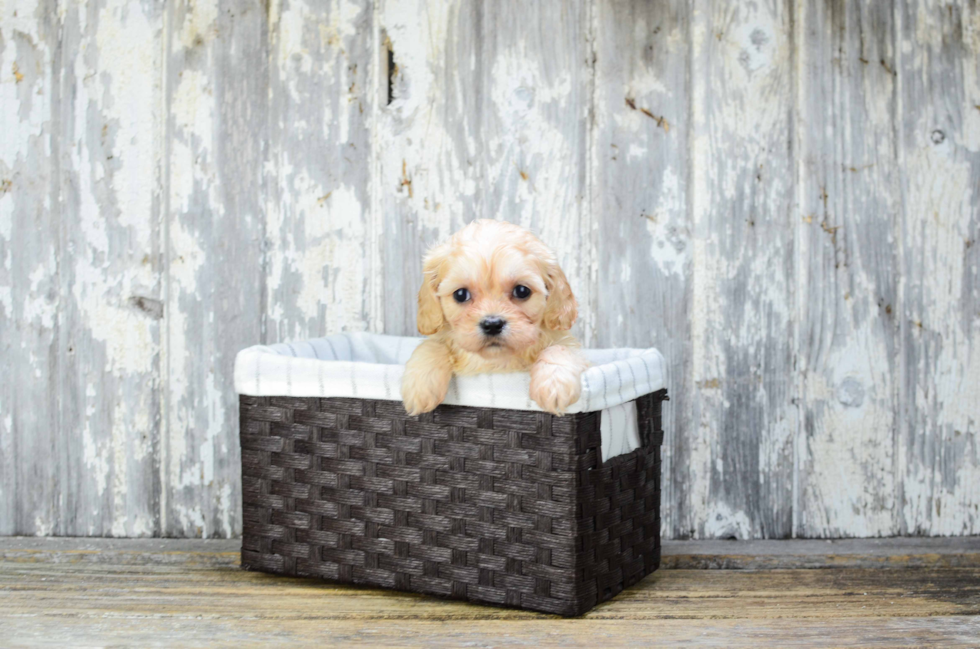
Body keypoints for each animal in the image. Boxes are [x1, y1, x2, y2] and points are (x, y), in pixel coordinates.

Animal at [400, 220, 588, 416]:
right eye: (460, 294)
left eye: (522, 291)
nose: (492, 325)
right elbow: (433, 345)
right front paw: (420, 387)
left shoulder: (568, 344)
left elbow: (560, 348)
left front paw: (554, 385)